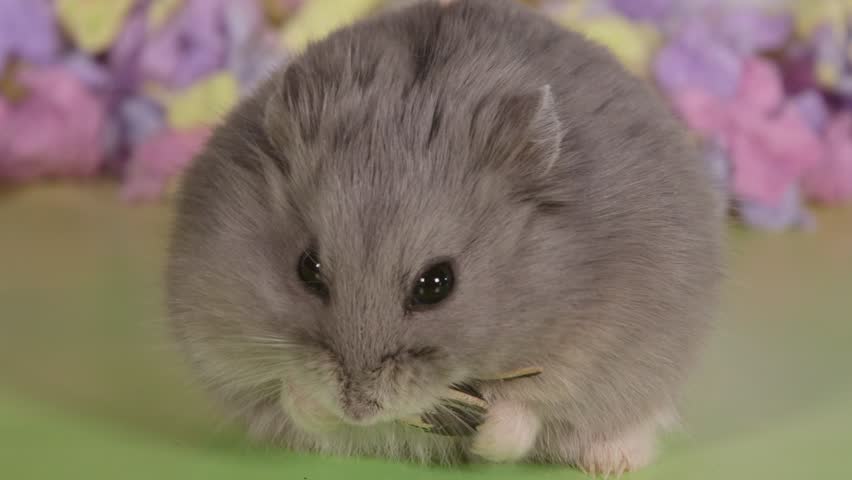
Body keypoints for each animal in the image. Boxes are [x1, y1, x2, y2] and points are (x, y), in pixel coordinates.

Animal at [166, 0, 725, 474]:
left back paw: (612, 463)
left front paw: (485, 432)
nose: (358, 407)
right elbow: (289, 396)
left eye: (437, 284)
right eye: (307, 268)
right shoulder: (220, 347)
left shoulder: (591, 352)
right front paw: (320, 404)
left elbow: (521, 420)